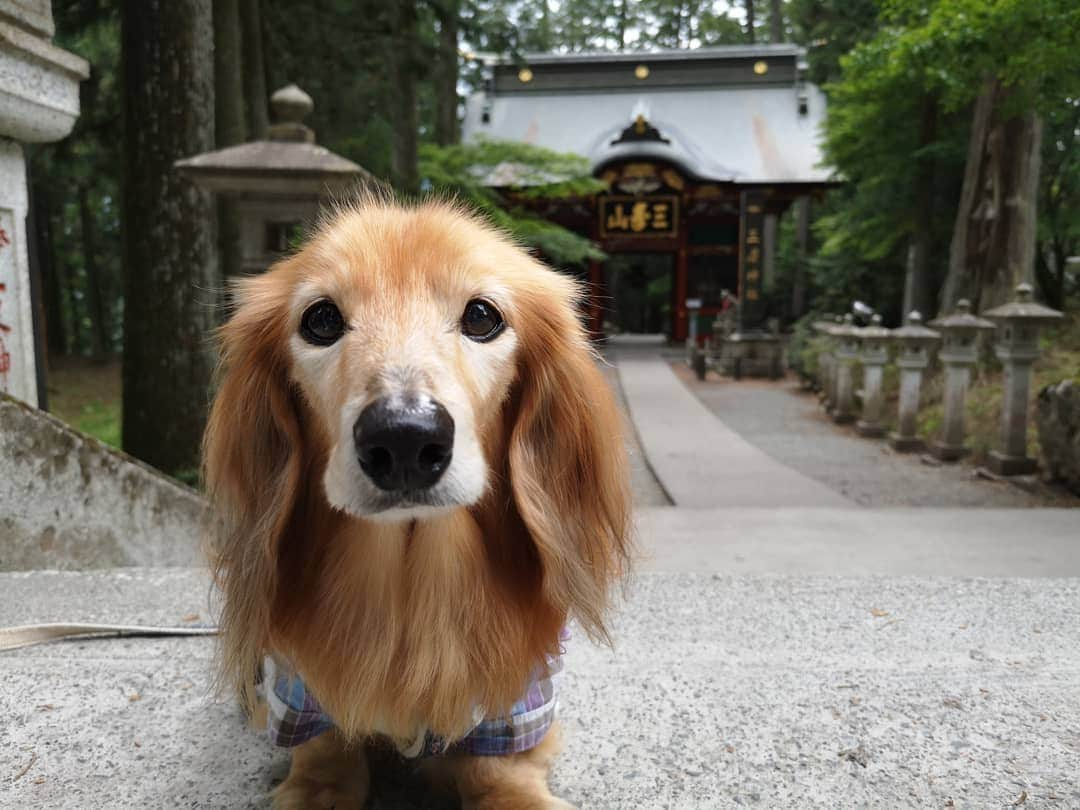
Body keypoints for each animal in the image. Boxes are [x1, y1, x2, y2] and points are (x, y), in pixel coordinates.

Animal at [203, 193, 630, 807]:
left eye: (481, 316)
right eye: (321, 320)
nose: (403, 436)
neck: (410, 583)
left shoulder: (521, 700)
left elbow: (495, 769)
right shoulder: (299, 691)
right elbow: (323, 750)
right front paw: (317, 785)